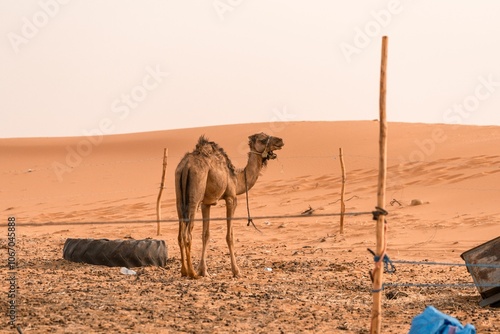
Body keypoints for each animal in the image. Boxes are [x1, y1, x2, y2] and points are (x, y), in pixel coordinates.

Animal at [176, 132, 286, 278]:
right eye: (263, 139)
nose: (280, 140)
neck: (237, 179)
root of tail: (186, 166)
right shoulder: (231, 198)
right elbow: (230, 236)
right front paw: (236, 271)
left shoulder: (206, 203)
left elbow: (206, 235)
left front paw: (203, 270)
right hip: (195, 197)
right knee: (187, 234)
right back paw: (192, 273)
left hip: (179, 196)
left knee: (180, 234)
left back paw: (184, 271)